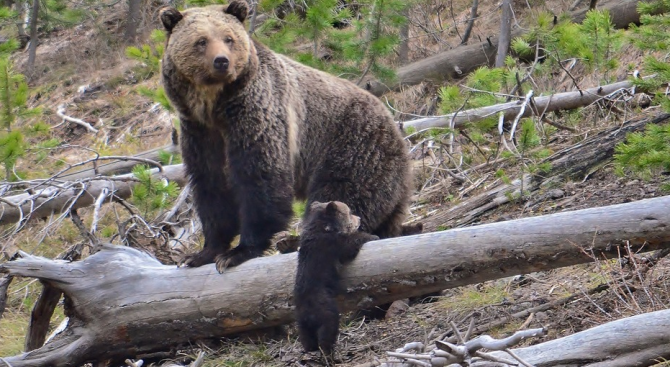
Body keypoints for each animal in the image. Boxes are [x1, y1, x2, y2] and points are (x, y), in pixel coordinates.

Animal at [160, 0, 412, 274]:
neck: (214, 106)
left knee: (342, 193)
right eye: (201, 41)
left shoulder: (257, 113)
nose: (221, 61)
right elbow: (210, 185)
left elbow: (260, 177)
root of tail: (396, 129)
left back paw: (297, 240)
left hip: (353, 145)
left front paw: (239, 251)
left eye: (228, 38)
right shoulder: (199, 131)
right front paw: (202, 253)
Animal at [294, 201, 378, 356]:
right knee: (328, 328)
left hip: (301, 321)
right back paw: (329, 352)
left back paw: (310, 348)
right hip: (325, 308)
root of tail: (307, 313)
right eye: (349, 212)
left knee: (306, 337)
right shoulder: (333, 244)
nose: (359, 218)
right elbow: (349, 246)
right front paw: (372, 236)